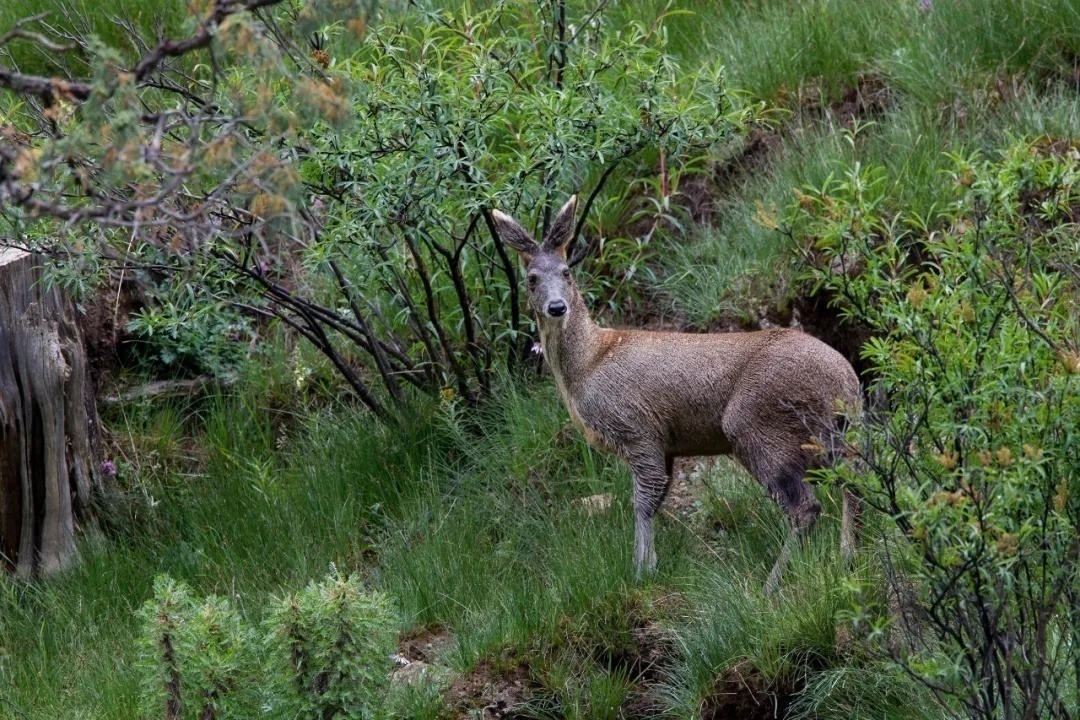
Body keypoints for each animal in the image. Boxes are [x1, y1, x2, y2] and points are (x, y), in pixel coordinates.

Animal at [494, 195, 864, 591]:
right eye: (531, 278)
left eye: (566, 271)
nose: (557, 307)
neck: (588, 364)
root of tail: (846, 381)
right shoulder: (666, 444)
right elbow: (655, 500)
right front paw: (647, 565)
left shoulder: (637, 428)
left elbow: (643, 500)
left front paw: (641, 571)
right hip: (831, 432)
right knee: (854, 480)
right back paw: (847, 557)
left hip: (757, 423)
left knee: (805, 508)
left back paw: (770, 585)